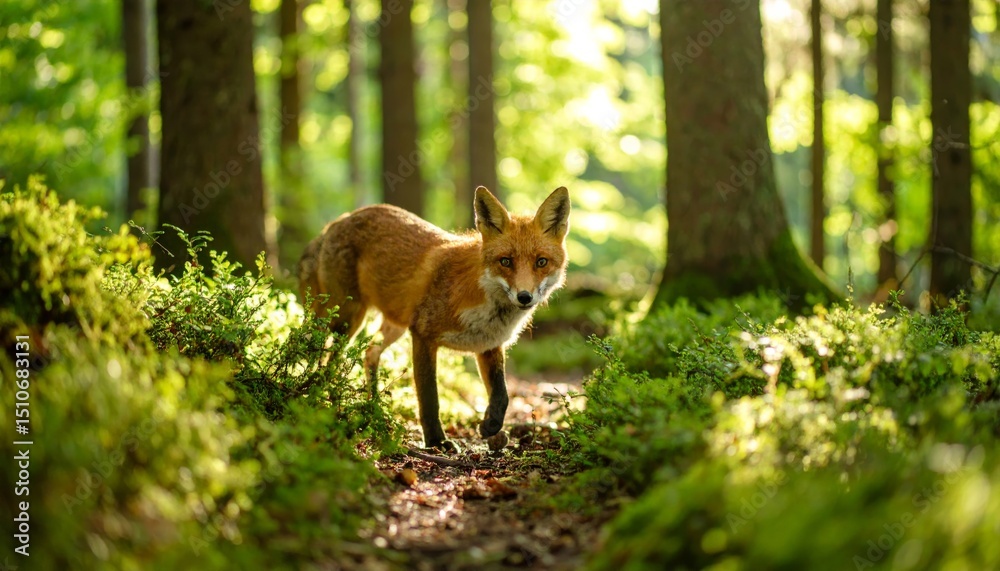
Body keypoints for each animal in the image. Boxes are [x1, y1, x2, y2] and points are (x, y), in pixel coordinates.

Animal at [298, 186, 570, 452]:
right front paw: (436, 442)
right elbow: (430, 398)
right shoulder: (422, 334)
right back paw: (327, 397)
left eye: (541, 262)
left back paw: (373, 406)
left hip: (393, 325)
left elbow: (502, 395)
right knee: (328, 359)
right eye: (505, 261)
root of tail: (338, 221)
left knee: (369, 352)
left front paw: (491, 425)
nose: (524, 297)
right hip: (347, 318)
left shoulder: (488, 345)